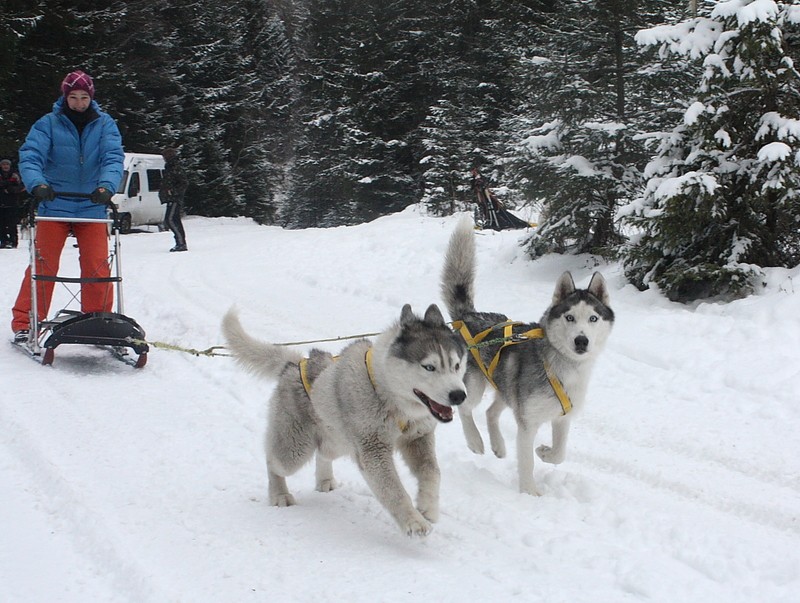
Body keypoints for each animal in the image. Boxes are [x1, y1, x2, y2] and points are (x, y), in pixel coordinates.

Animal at [220, 306, 468, 536]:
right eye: (429, 367)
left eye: (456, 366)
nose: (459, 395)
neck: (389, 397)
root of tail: (295, 365)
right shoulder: (373, 451)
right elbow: (395, 491)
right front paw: (414, 521)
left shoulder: (418, 438)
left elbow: (432, 472)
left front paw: (428, 507)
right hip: (295, 452)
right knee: (273, 462)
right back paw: (279, 494)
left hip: (336, 442)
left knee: (322, 454)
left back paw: (324, 479)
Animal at [440, 217, 616, 496]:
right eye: (569, 317)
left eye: (593, 318)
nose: (581, 340)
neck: (563, 368)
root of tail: (468, 317)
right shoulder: (527, 423)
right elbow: (526, 462)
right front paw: (529, 493)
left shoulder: (562, 418)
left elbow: (560, 454)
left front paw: (544, 452)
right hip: (475, 386)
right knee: (465, 408)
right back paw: (476, 441)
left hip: (505, 388)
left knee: (491, 412)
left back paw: (498, 445)